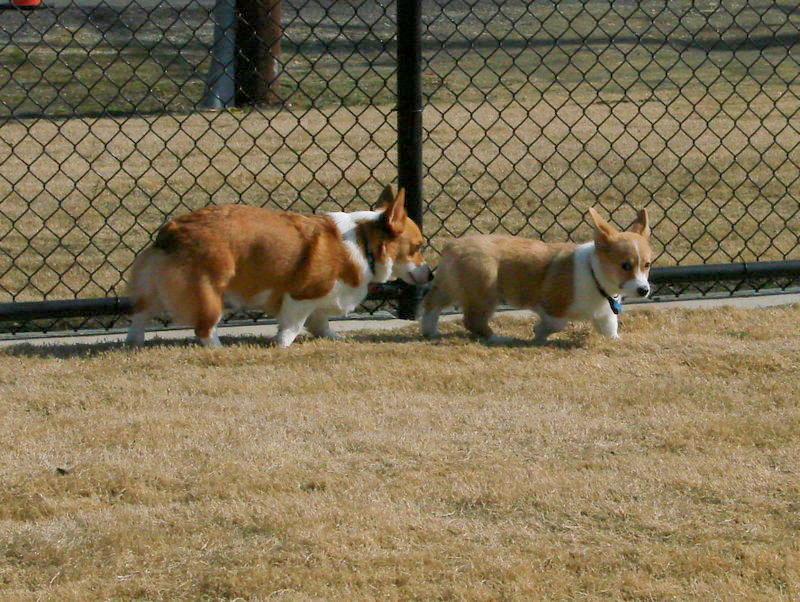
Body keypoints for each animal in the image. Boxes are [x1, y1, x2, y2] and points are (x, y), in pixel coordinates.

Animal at [126, 184, 432, 346]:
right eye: (417, 247)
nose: (430, 274)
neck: (362, 241)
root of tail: (172, 230)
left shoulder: (319, 298)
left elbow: (321, 322)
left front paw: (333, 337)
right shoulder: (301, 296)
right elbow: (293, 326)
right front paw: (281, 345)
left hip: (152, 290)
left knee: (140, 315)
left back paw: (134, 342)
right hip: (209, 293)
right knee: (204, 328)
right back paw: (217, 346)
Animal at [418, 207, 648, 342]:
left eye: (647, 265)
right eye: (625, 265)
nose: (644, 290)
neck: (595, 275)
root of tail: (454, 245)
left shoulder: (605, 314)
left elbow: (610, 328)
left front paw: (616, 340)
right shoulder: (551, 306)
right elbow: (557, 324)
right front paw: (539, 332)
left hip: (449, 287)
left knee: (431, 304)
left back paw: (430, 331)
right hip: (485, 293)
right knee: (473, 321)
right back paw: (499, 339)